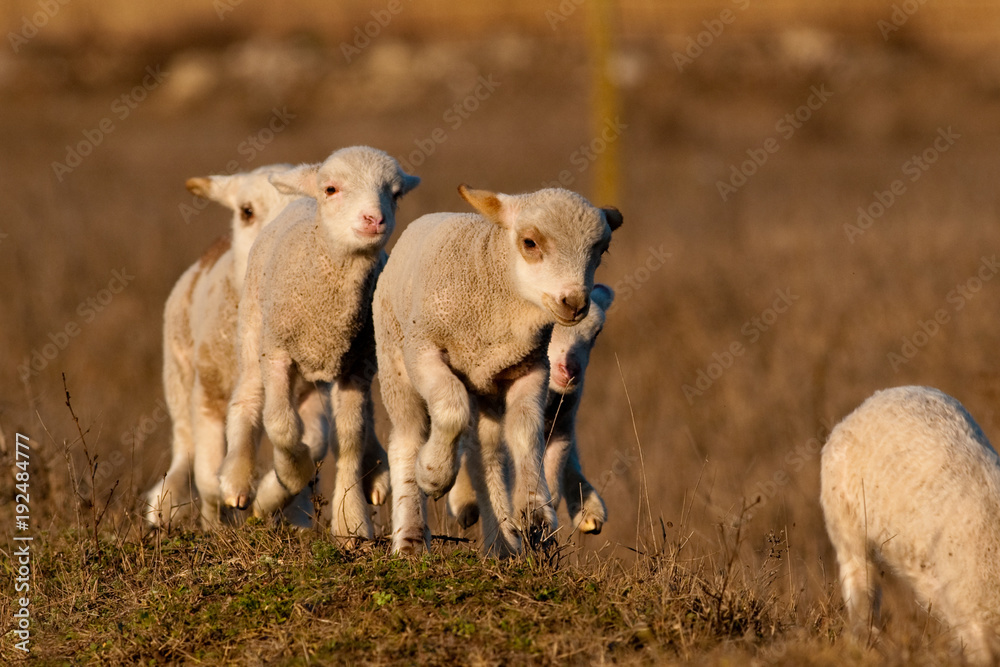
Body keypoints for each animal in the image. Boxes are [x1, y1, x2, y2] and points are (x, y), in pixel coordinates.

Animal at [219, 146, 419, 542]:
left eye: (394, 193)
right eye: (331, 189)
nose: (374, 220)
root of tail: (299, 199)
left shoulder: (355, 364)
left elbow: (351, 436)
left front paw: (351, 521)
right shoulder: (277, 352)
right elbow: (281, 425)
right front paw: (287, 478)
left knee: (363, 416)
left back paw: (375, 473)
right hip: (254, 330)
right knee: (248, 396)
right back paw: (238, 480)